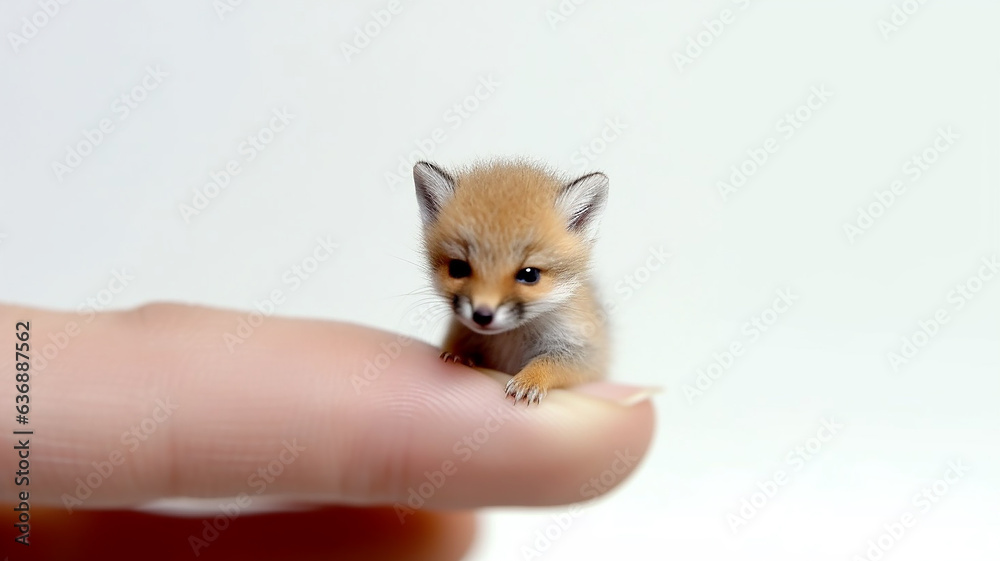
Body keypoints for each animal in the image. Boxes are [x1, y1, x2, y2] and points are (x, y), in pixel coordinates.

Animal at [412, 159, 610, 405]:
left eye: (529, 274)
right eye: (458, 268)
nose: (482, 315)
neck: (510, 338)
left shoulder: (584, 352)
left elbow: (549, 362)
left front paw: (529, 380)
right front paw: (460, 354)